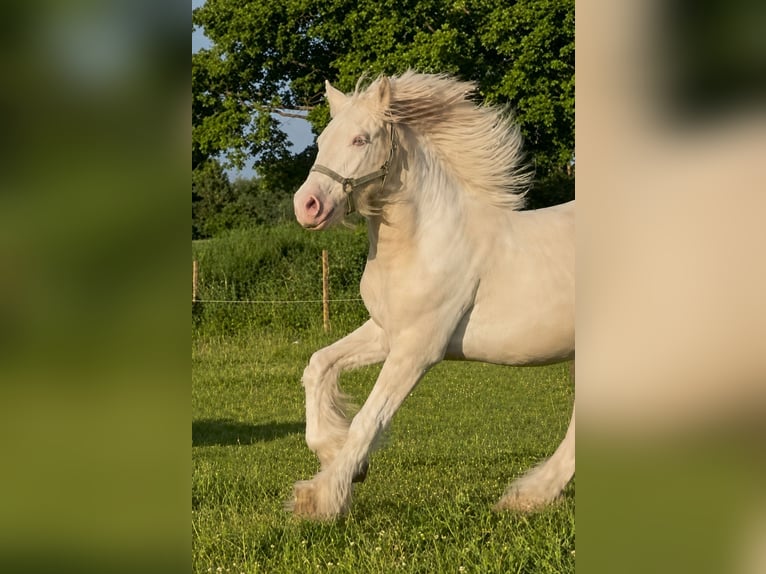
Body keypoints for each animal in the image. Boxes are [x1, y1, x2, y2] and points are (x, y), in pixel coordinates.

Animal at [290, 71, 574, 520]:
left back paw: (528, 495)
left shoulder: (419, 348)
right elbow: (319, 366)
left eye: (361, 139)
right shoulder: (386, 332)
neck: (424, 241)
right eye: (322, 140)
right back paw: (529, 497)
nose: (307, 206)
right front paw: (340, 460)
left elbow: (368, 418)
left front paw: (323, 498)